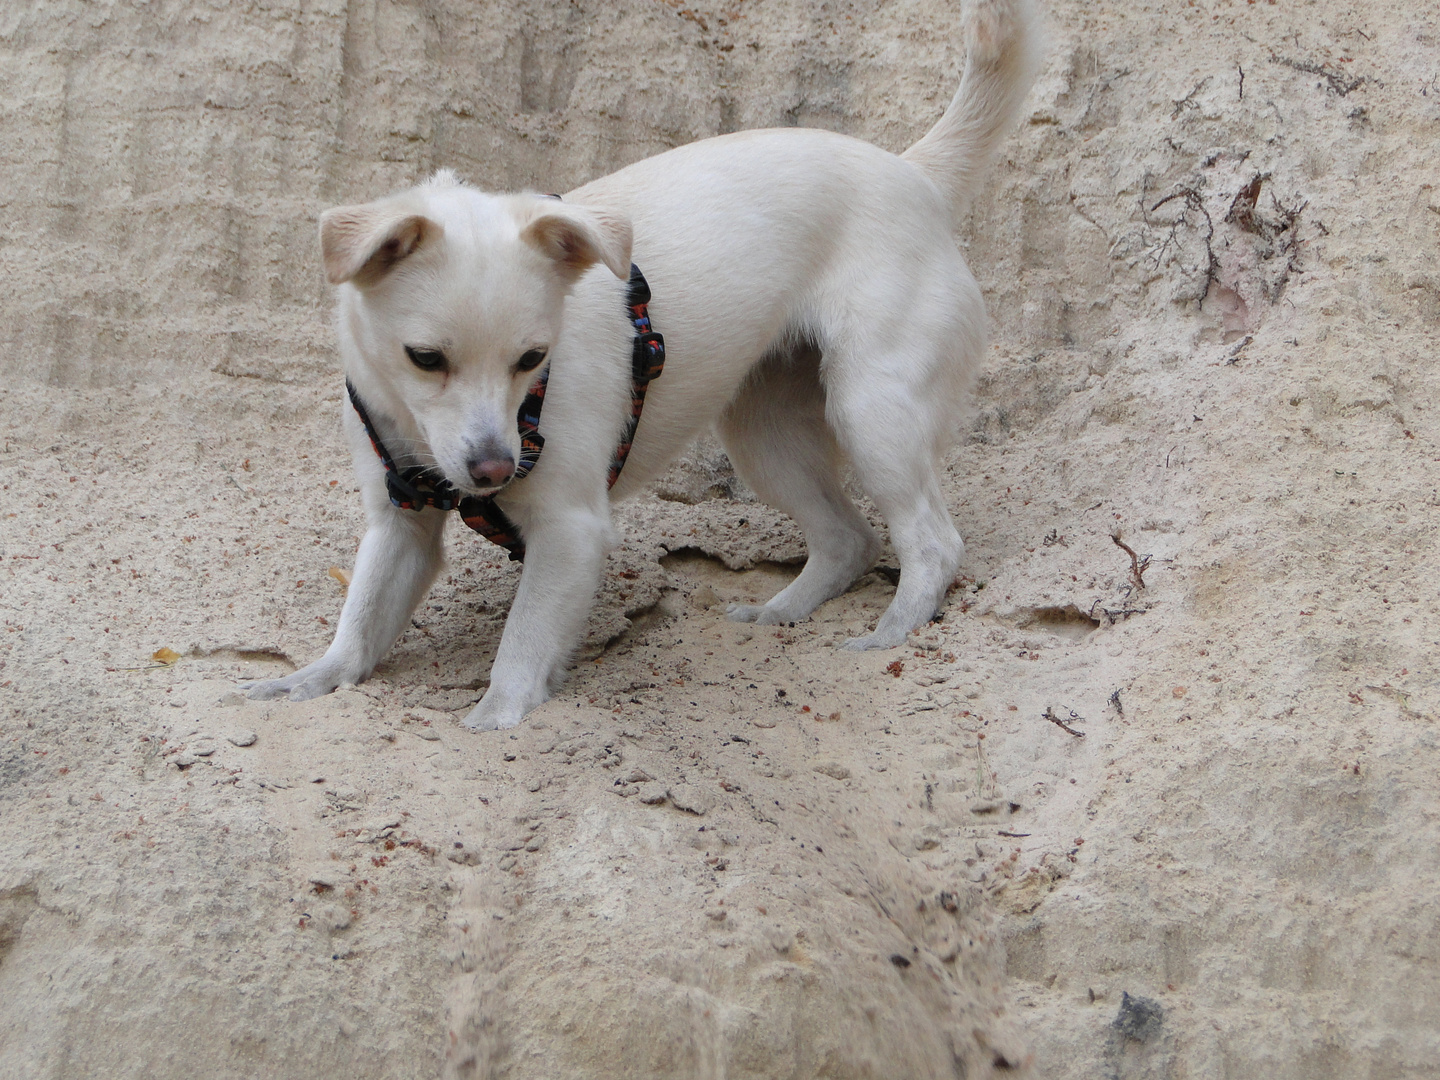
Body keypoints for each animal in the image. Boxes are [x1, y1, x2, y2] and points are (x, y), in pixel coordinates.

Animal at [244, 0, 1036, 731]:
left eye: (533, 358)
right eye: (425, 359)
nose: (495, 470)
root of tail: (915, 173)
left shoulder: (569, 530)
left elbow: (522, 644)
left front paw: (496, 715)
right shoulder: (399, 526)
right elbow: (358, 625)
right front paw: (310, 679)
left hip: (871, 415)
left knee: (932, 541)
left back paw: (894, 630)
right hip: (768, 440)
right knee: (850, 539)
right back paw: (785, 611)